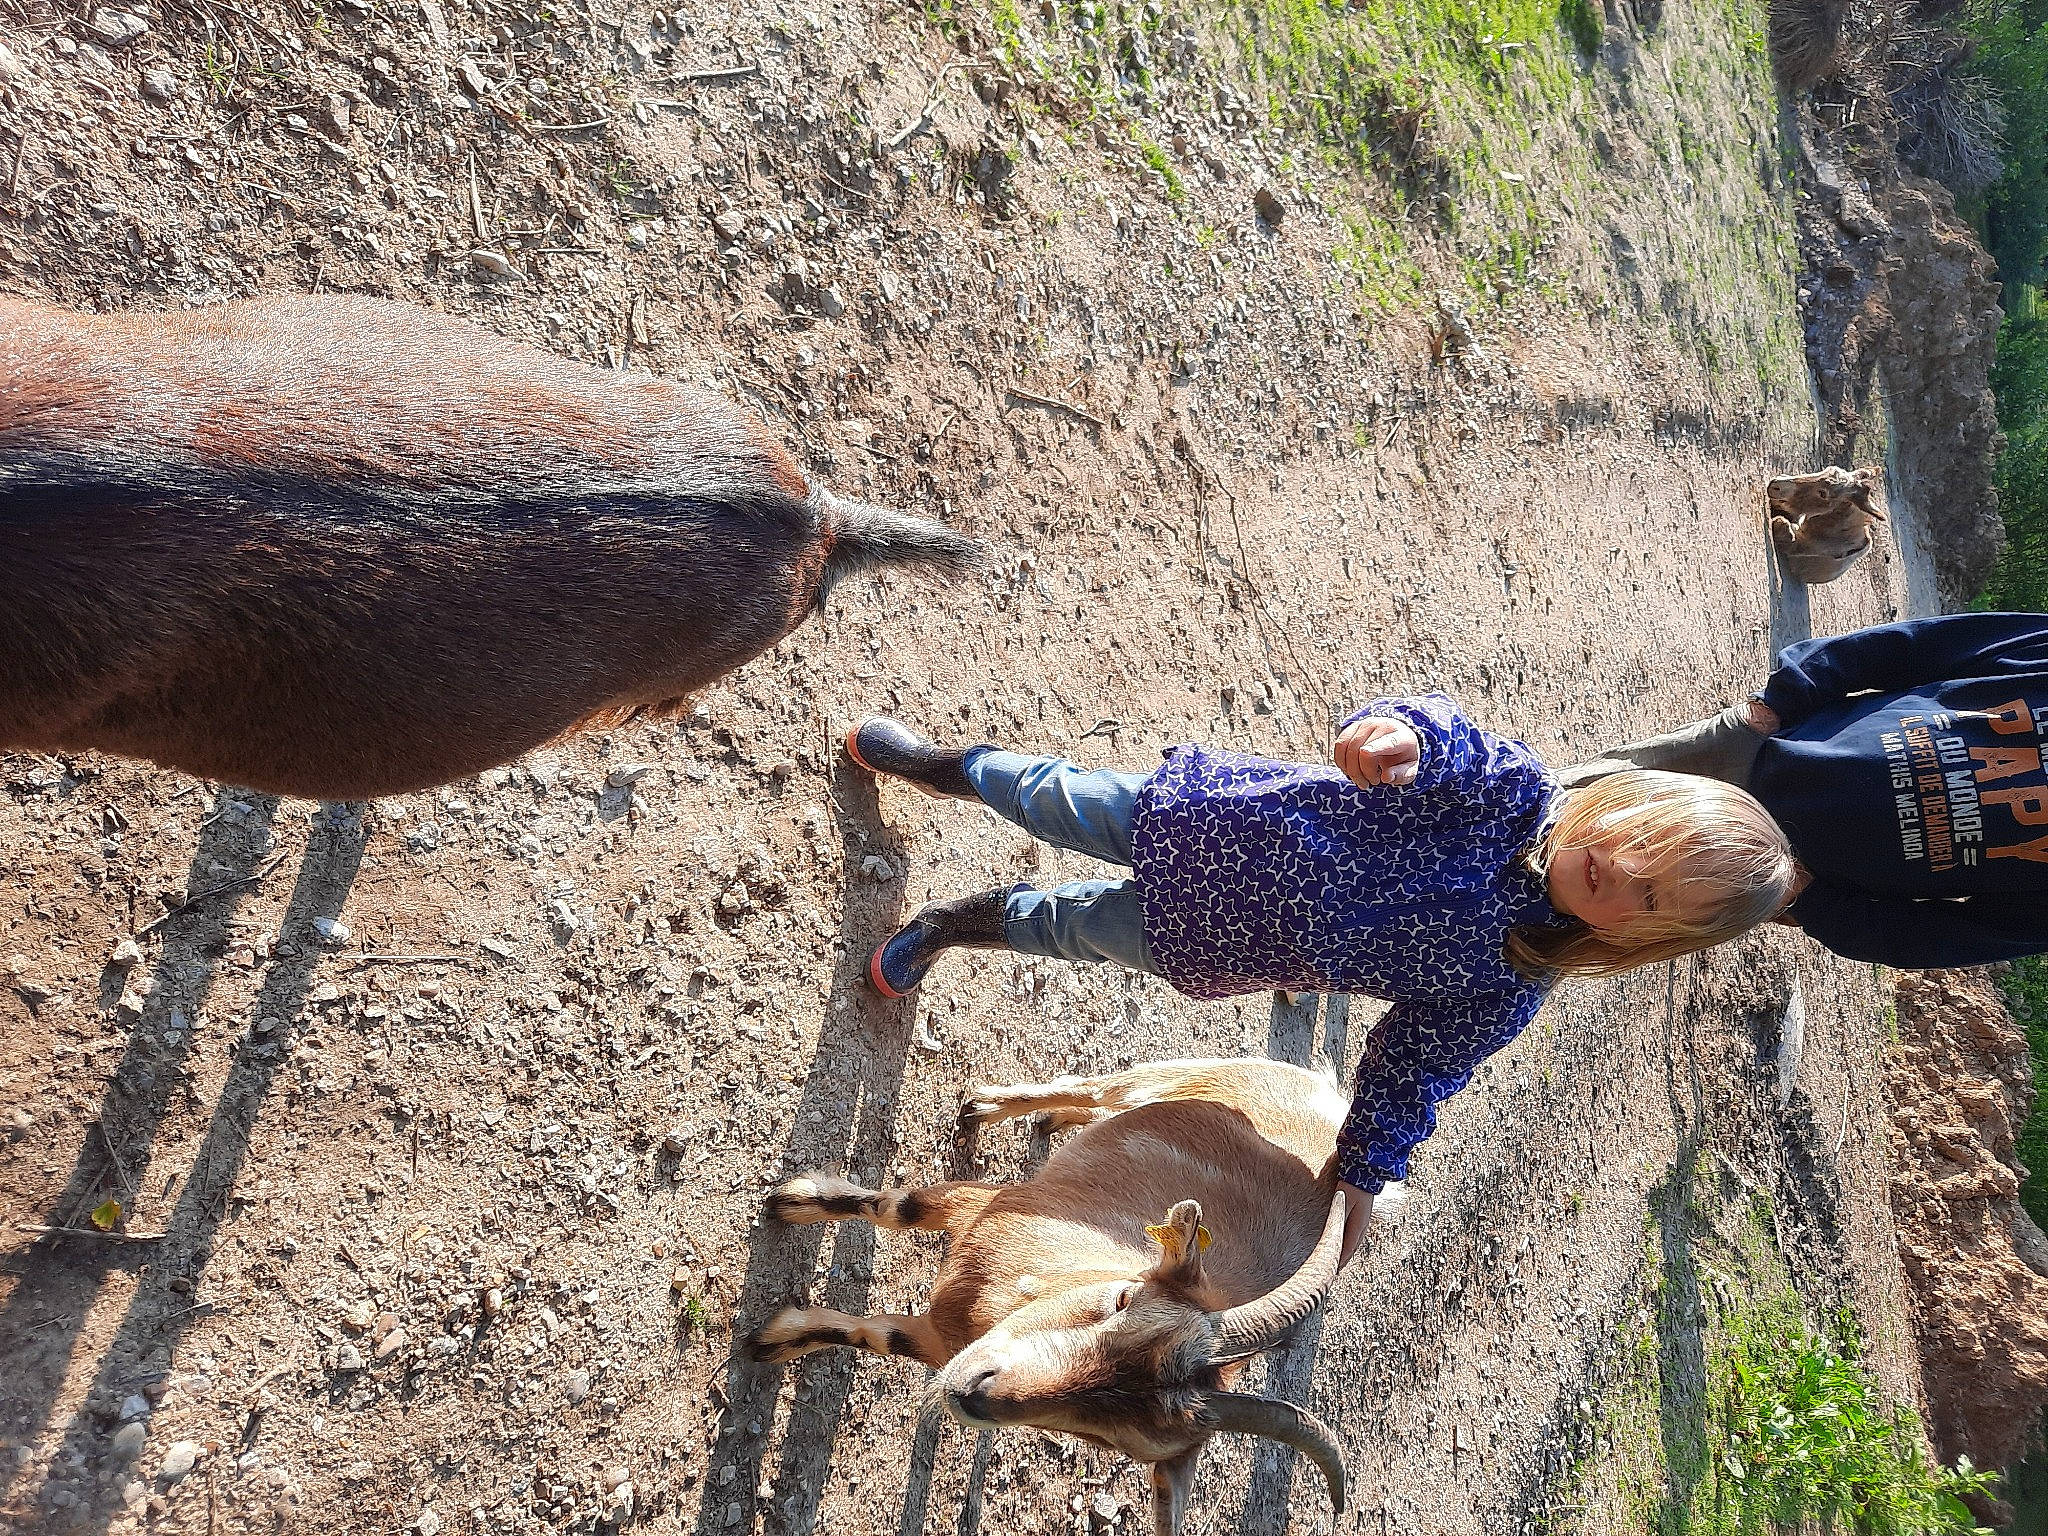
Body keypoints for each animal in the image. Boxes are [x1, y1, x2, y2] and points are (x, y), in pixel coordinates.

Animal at [748, 1057, 1373, 1535]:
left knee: (1097, 1108)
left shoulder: (939, 1342)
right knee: (1097, 1087)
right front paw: (793, 1201)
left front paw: (773, 1341)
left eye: (1107, 1437)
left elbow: (873, 1335)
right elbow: (897, 1208)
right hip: (1177, 1077)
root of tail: (1333, 1113)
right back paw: (988, 1108)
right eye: (1123, 1300)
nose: (975, 1393)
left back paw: (1055, 1119)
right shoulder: (989, 1206)